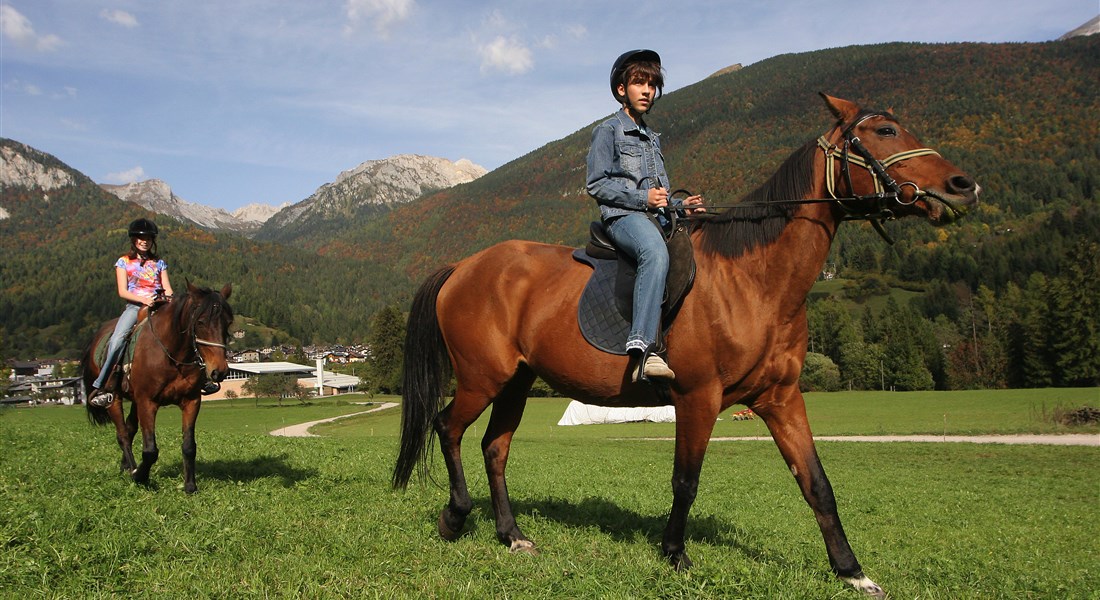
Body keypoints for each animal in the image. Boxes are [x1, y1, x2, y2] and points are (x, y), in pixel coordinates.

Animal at [84, 280, 234, 491]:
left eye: (228, 322)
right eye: (200, 322)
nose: (219, 371)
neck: (172, 355)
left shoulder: (191, 401)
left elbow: (189, 446)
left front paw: (190, 486)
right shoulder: (148, 402)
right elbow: (150, 450)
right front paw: (140, 477)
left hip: (135, 400)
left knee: (129, 429)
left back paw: (126, 466)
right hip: (114, 399)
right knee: (123, 435)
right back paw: (132, 468)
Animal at [393, 93, 981, 594]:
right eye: (884, 131)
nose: (962, 186)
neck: (753, 280)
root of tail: (463, 267)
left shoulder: (782, 399)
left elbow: (817, 484)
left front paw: (852, 571)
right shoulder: (698, 397)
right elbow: (685, 481)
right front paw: (675, 553)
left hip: (516, 381)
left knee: (496, 447)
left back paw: (511, 535)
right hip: (482, 378)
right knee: (447, 428)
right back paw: (455, 516)